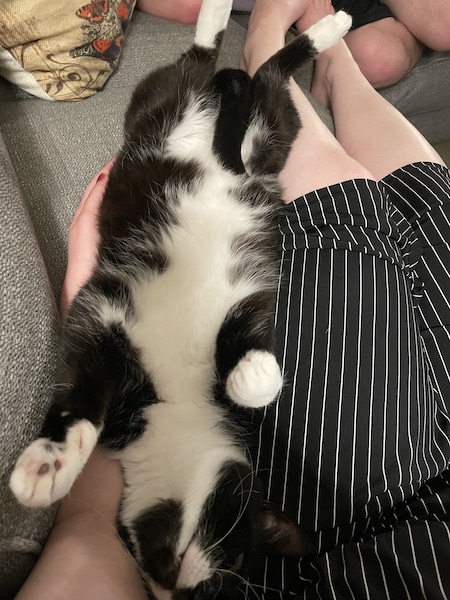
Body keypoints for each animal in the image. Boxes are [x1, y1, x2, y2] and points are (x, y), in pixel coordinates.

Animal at [10, 2, 354, 596]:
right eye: (233, 552)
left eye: (228, 574)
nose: (180, 587)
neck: (173, 401)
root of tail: (216, 109)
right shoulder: (106, 315)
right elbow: (82, 394)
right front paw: (50, 464)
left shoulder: (247, 291)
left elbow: (243, 330)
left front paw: (249, 375)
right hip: (157, 103)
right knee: (207, 63)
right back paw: (241, 19)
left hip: (275, 136)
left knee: (269, 81)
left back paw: (321, 31)